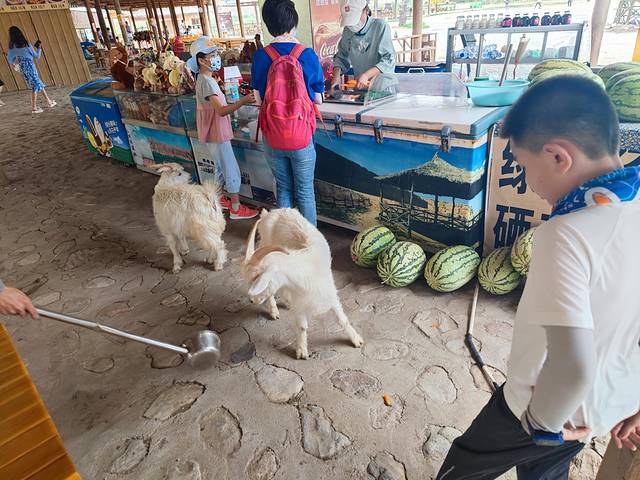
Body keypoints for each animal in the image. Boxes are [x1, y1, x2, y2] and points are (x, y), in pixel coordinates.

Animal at [241, 208, 363, 359]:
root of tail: (269, 213)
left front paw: (356, 339)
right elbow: (302, 327)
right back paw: (274, 311)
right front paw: (301, 351)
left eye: (257, 279)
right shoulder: (300, 303)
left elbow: (342, 319)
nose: (252, 300)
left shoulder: (329, 295)